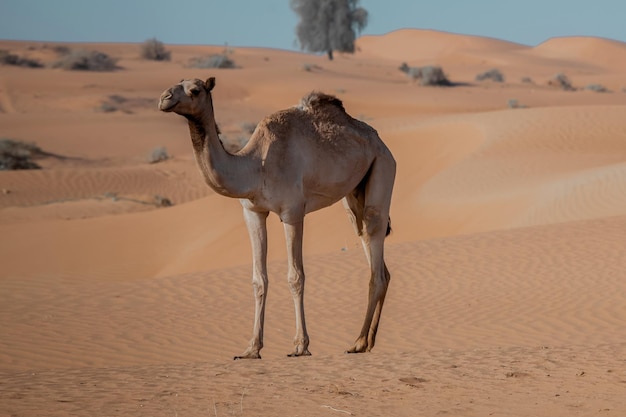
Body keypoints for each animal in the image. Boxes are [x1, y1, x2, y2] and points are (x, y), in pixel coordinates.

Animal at [160, 78, 394, 358]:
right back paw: (367, 342)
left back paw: (358, 342)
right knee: (367, 241)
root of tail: (382, 143)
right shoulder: (252, 212)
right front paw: (251, 348)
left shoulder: (292, 212)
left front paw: (300, 345)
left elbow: (296, 277)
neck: (255, 166)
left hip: (383, 166)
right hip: (354, 193)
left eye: (194, 90)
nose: (164, 98)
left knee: (374, 236)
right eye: (175, 84)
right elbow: (258, 279)